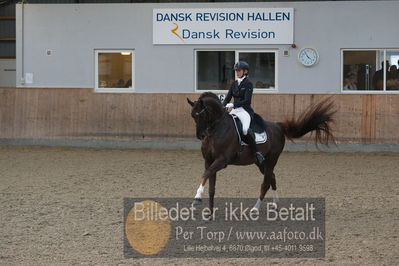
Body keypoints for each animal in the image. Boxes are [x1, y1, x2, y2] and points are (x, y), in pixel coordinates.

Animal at [188, 92, 338, 215]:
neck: (216, 130)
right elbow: (211, 186)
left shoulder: (221, 160)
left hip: (272, 159)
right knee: (272, 177)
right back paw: (275, 204)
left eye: (201, 114)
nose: (201, 136)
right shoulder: (209, 161)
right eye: (192, 116)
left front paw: (197, 197)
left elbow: (205, 175)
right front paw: (210, 212)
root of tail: (278, 126)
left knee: (265, 183)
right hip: (260, 162)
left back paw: (255, 209)